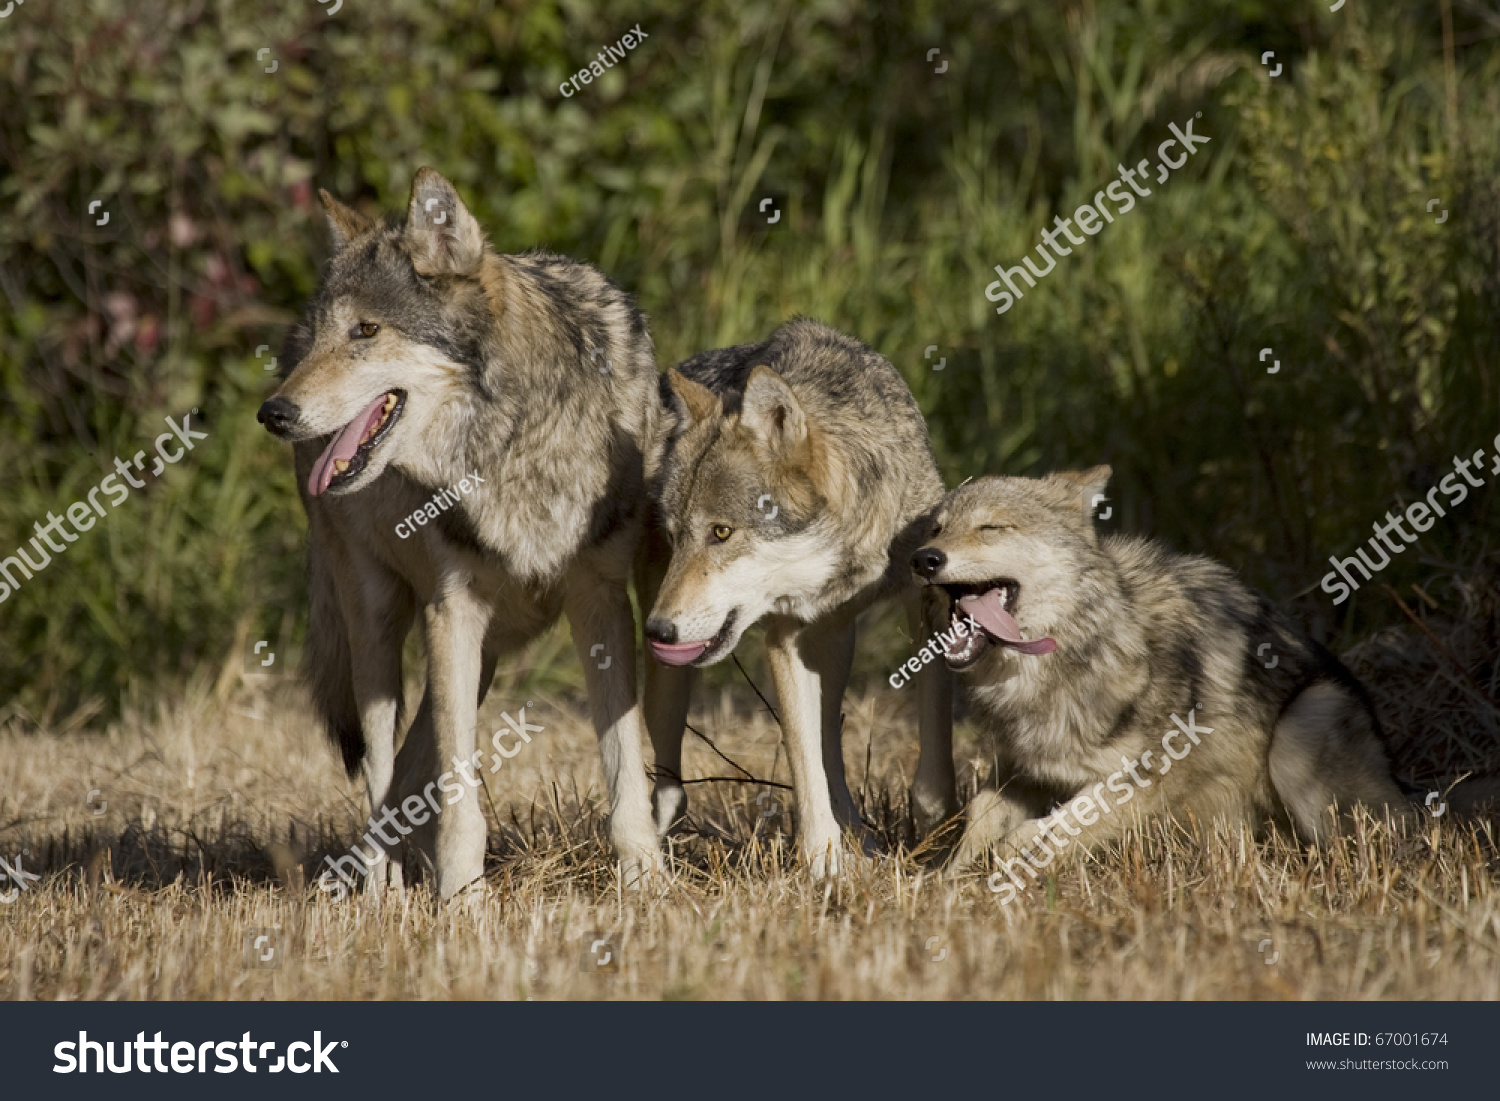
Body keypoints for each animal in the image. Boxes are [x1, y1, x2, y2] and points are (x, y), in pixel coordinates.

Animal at [259, 168, 669, 900]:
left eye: (366, 330)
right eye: (332, 335)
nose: (273, 412)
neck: (515, 441)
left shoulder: (600, 604)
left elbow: (624, 764)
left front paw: (645, 880)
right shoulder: (452, 613)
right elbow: (458, 790)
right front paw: (462, 900)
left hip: (486, 648)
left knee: (412, 763)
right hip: (379, 627)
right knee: (383, 766)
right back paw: (384, 892)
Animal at [639, 319, 954, 882]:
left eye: (721, 532)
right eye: (676, 537)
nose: (657, 630)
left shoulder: (930, 597)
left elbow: (932, 749)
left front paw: (936, 836)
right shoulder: (784, 638)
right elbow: (804, 764)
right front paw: (823, 864)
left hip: (836, 646)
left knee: (831, 744)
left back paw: (863, 839)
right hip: (672, 683)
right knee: (670, 785)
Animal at [906, 465, 1410, 882]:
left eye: (990, 528)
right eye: (937, 528)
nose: (923, 559)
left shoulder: (1153, 771)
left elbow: (1065, 819)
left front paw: (1017, 858)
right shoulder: (1022, 768)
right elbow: (978, 818)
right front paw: (940, 883)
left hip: (1299, 732)